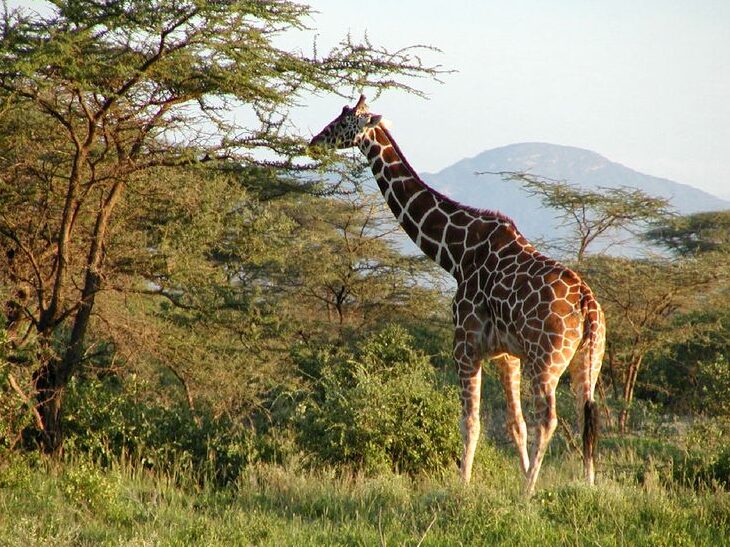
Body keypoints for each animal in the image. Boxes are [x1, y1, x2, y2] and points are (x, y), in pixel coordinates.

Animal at [308, 94, 604, 496]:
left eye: (341, 122)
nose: (314, 142)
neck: (456, 253)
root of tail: (587, 305)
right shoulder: (506, 353)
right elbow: (515, 424)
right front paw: (513, 472)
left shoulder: (465, 344)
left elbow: (470, 421)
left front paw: (463, 483)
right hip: (588, 359)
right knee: (587, 416)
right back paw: (587, 485)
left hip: (546, 362)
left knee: (551, 420)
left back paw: (529, 491)